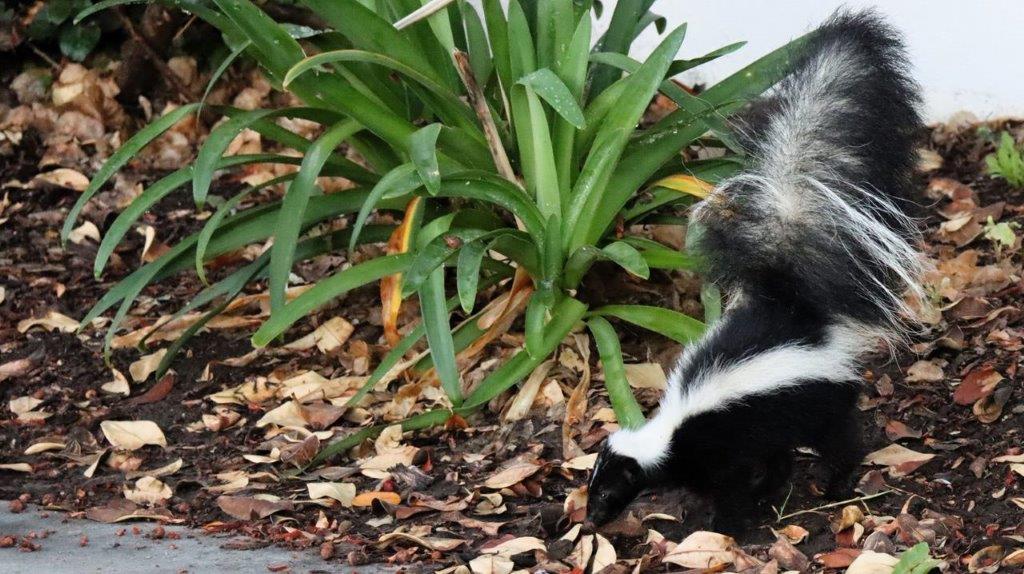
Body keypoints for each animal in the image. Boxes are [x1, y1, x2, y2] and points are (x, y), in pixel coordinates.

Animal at [585, 11, 929, 532]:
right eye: (594, 489)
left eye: (607, 492)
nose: (589, 521)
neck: (668, 434)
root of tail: (795, 315)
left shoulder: (719, 447)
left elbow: (728, 487)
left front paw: (726, 525)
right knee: (784, 455)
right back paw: (776, 488)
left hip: (817, 403)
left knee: (840, 440)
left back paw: (837, 484)